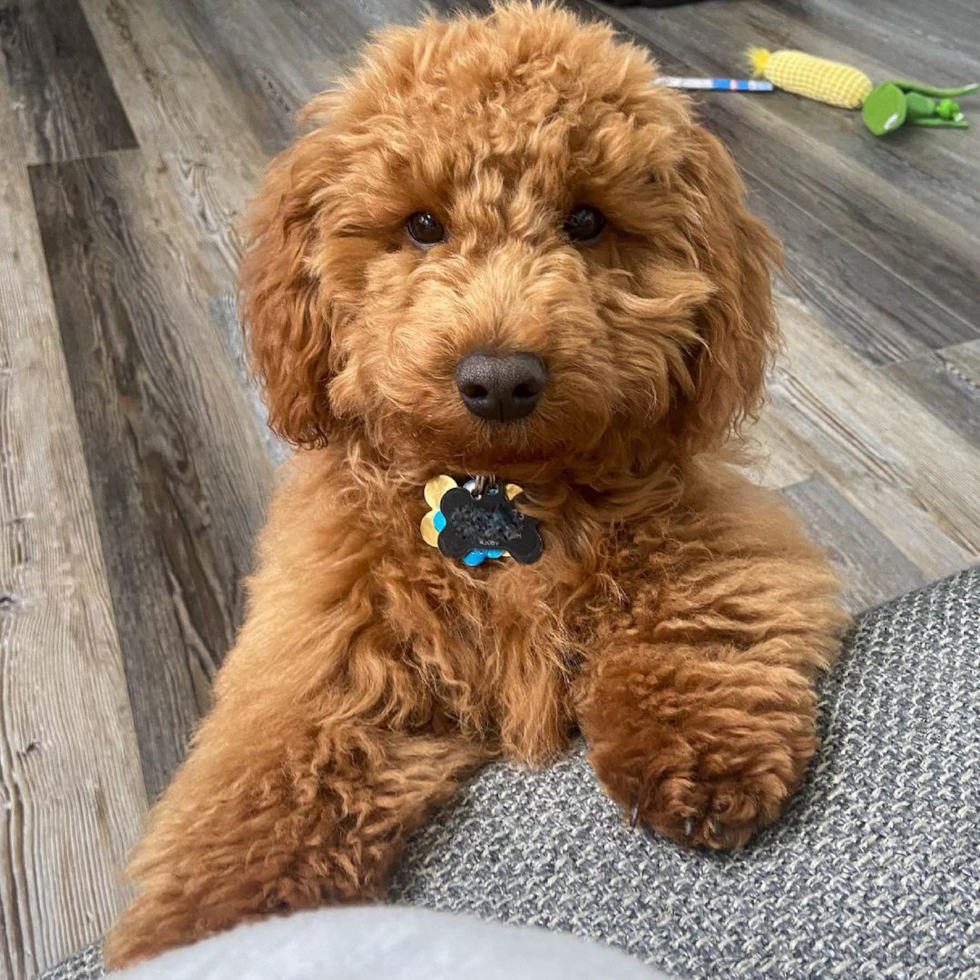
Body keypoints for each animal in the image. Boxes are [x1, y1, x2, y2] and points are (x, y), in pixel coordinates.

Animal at [103, 0, 848, 964]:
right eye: (422, 226)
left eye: (586, 221)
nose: (499, 380)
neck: (499, 490)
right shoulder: (323, 650)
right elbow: (266, 785)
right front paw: (212, 929)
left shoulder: (714, 523)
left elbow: (692, 602)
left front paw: (697, 740)